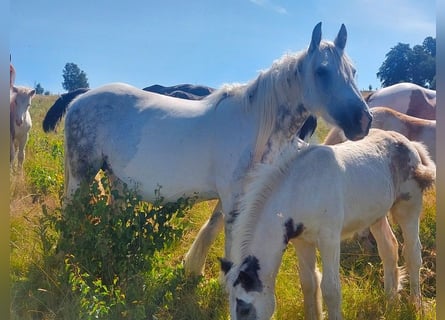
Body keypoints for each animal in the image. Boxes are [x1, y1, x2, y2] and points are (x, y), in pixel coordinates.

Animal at [44, 22, 372, 276]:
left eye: (354, 71)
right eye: (322, 71)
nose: (363, 120)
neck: (254, 124)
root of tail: (81, 97)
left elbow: (215, 229)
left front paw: (195, 270)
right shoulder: (234, 200)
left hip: (117, 181)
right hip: (82, 175)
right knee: (70, 214)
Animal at [222, 129, 434, 320]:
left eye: (244, 308)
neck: (300, 190)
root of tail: (410, 144)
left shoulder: (329, 240)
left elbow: (330, 288)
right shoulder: (302, 242)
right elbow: (308, 283)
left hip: (408, 209)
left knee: (412, 253)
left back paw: (416, 306)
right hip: (377, 216)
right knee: (389, 249)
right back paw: (390, 302)